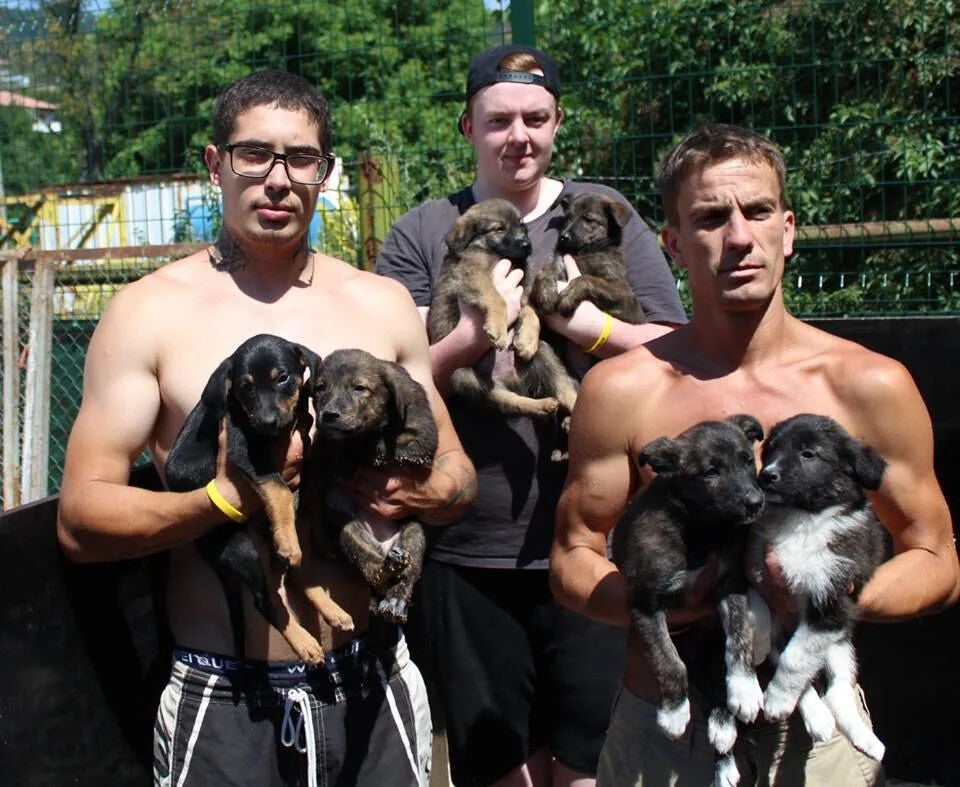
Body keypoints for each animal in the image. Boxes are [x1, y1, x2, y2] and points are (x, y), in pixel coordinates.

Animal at [164, 333, 351, 664]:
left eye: (283, 378)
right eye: (245, 387)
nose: (267, 422)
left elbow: (313, 493)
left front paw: (319, 538)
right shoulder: (244, 450)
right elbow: (278, 487)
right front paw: (289, 540)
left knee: (294, 575)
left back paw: (333, 611)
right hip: (242, 548)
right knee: (265, 600)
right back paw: (305, 643)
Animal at [300, 348, 438, 624]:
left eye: (359, 388)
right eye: (320, 388)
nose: (328, 415)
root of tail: (384, 546)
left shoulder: (422, 437)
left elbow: (381, 444)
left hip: (414, 534)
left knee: (406, 575)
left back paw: (396, 601)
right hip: (350, 533)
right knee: (372, 567)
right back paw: (386, 567)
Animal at [426, 198, 579, 423]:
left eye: (522, 226)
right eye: (498, 229)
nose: (526, 245)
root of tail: (511, 381)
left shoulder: (524, 288)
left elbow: (530, 311)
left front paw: (527, 340)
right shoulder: (474, 274)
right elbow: (497, 298)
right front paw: (497, 329)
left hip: (543, 353)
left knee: (562, 387)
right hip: (464, 377)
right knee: (508, 401)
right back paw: (539, 405)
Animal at [611, 415, 766, 787]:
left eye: (747, 461)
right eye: (710, 472)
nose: (755, 502)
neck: (701, 527)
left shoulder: (729, 584)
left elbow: (740, 636)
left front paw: (745, 688)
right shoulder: (645, 603)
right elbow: (667, 659)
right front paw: (674, 712)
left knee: (717, 688)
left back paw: (724, 730)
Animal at [751, 413, 888, 762]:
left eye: (808, 454)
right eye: (771, 450)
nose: (766, 476)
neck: (802, 519)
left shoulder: (833, 602)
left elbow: (796, 659)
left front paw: (777, 699)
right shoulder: (757, 573)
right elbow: (757, 613)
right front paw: (756, 644)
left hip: (840, 641)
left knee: (837, 689)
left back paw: (863, 737)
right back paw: (818, 717)